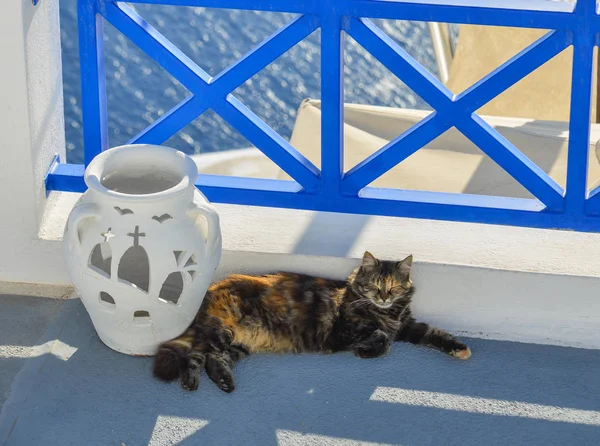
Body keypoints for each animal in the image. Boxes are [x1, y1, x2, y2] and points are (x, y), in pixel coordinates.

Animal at [152, 253, 472, 392]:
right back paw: (191, 382)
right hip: (221, 331)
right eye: (375, 286)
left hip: (237, 343)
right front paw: (366, 351)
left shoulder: (408, 325)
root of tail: (211, 289)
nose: (382, 297)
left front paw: (459, 348)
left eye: (392, 288)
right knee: (194, 355)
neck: (386, 314)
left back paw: (224, 382)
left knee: (213, 359)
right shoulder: (346, 330)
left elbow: (434, 332)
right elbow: (382, 340)